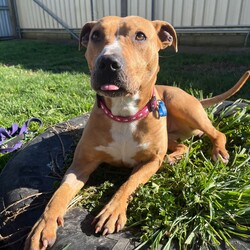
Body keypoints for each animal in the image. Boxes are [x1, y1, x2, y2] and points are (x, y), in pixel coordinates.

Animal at [24, 16, 249, 250]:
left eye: (140, 35)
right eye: (96, 35)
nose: (107, 62)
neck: (124, 114)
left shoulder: (149, 162)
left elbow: (129, 183)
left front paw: (112, 210)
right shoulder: (80, 165)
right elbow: (59, 195)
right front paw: (43, 225)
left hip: (183, 105)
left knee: (217, 133)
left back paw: (218, 152)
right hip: (171, 135)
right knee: (183, 146)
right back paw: (173, 158)